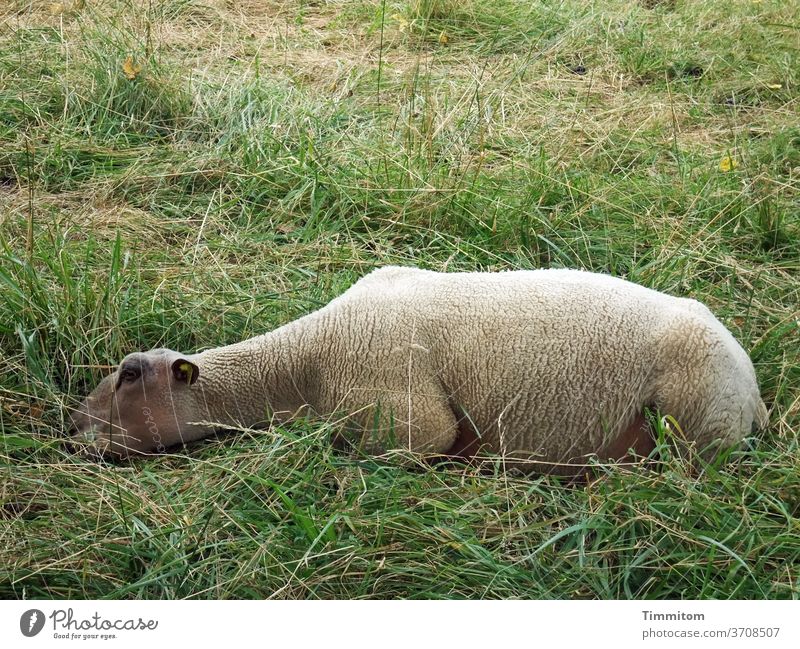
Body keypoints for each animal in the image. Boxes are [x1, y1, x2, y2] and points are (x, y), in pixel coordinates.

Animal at [70, 266, 768, 474]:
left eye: (129, 375)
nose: (73, 433)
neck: (302, 363)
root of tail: (756, 395)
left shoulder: (405, 416)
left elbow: (421, 442)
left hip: (699, 418)